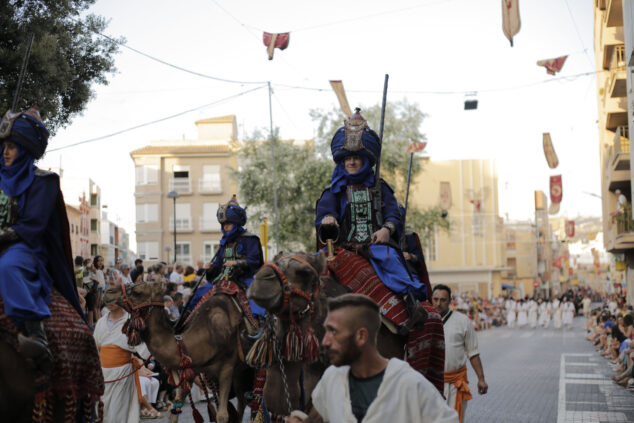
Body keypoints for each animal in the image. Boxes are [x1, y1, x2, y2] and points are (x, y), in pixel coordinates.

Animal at [105, 282, 248, 423]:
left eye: (137, 292)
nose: (109, 291)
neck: (208, 333)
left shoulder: (227, 367)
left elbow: (222, 416)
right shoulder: (192, 367)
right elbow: (175, 410)